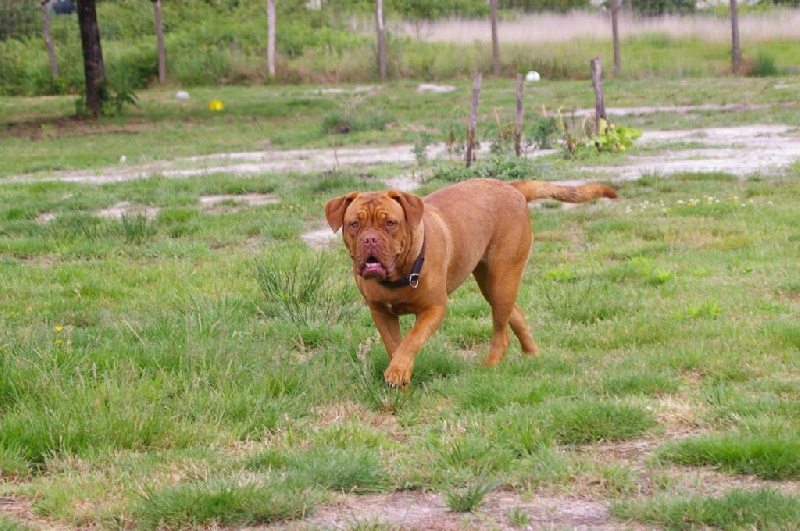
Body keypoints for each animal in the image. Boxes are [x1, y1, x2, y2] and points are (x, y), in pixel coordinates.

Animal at [326, 177, 620, 388]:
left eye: (390, 223)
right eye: (354, 224)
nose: (370, 239)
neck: (397, 275)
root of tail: (511, 187)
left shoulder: (433, 310)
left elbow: (411, 340)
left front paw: (398, 372)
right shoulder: (381, 312)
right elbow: (396, 346)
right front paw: (401, 375)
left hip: (502, 279)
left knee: (501, 332)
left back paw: (490, 367)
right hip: (491, 283)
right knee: (516, 314)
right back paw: (533, 355)